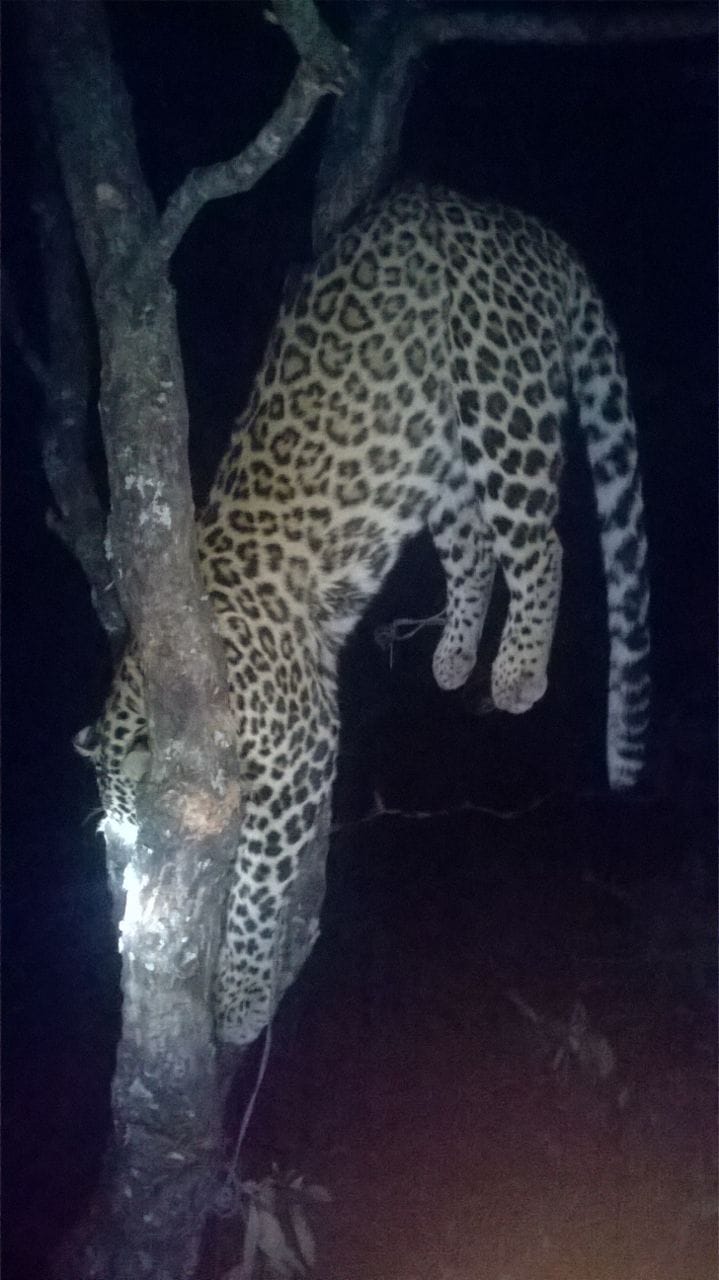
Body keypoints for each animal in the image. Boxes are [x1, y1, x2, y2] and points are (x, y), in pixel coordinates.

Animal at [78, 185, 650, 1046]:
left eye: (141, 845)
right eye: (115, 851)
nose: (123, 900)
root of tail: (518, 223)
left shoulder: (295, 754)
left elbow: (255, 888)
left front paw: (240, 1002)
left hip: (498, 392)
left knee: (537, 540)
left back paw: (517, 672)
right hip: (433, 452)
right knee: (474, 545)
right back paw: (453, 658)